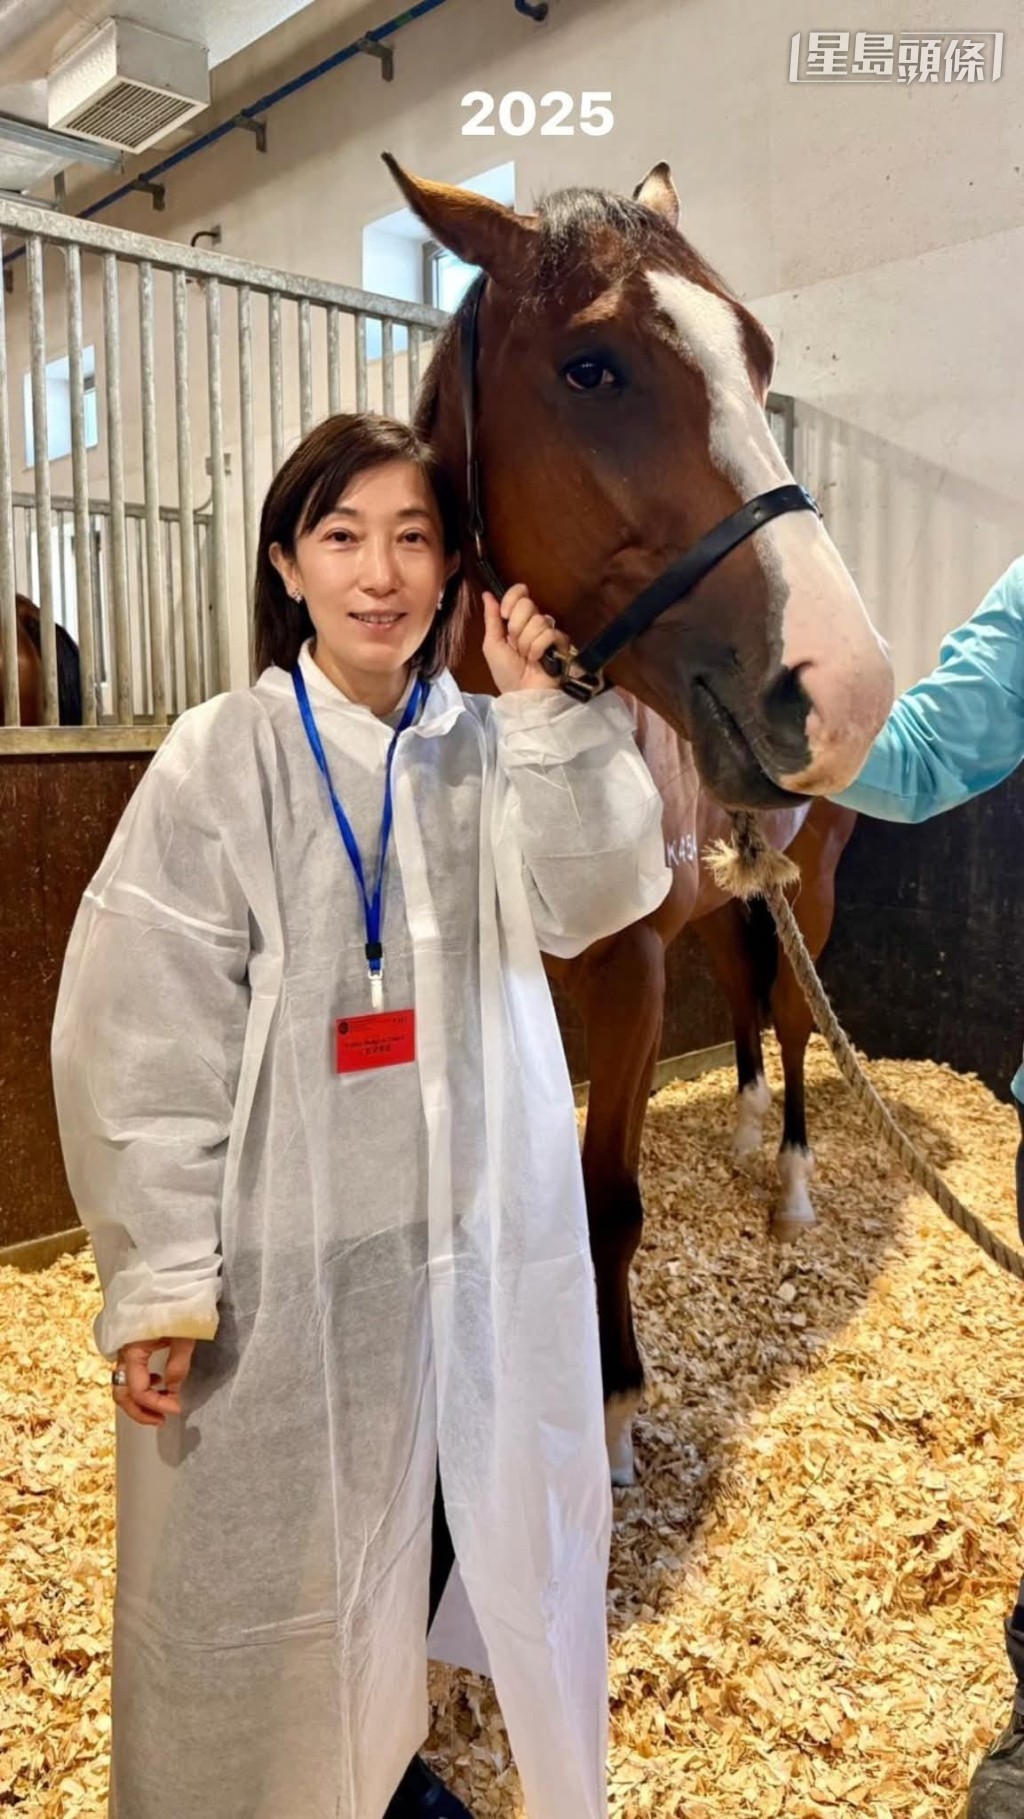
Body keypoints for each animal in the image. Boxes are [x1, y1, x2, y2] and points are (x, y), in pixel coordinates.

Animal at [383, 154, 892, 1482]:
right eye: (591, 368)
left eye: (759, 358)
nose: (844, 685)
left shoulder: (630, 977)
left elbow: (606, 1196)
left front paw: (609, 1406)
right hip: (724, 897)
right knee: (753, 1004)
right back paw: (744, 1127)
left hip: (809, 896)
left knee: (795, 1021)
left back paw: (789, 1183)